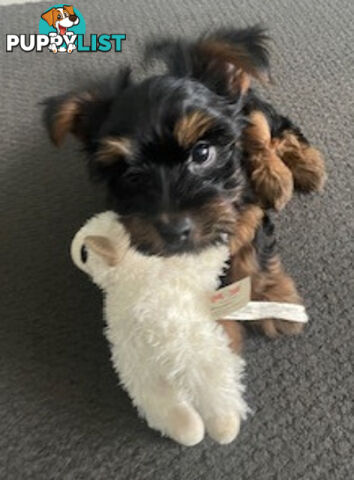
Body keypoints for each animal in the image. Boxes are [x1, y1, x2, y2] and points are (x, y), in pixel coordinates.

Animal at [44, 25, 326, 348]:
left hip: (250, 105)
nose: (173, 230)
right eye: (131, 176)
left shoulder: (246, 205)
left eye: (202, 153)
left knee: (271, 130)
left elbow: (253, 246)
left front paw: (270, 297)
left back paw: (292, 170)